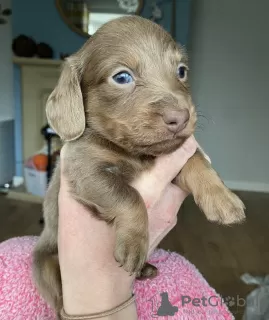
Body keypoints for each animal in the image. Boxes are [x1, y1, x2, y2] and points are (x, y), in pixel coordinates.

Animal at [31, 15, 245, 316]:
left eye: (181, 71)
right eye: (122, 77)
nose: (181, 117)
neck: (135, 152)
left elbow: (195, 160)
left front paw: (222, 198)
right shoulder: (86, 171)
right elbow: (129, 196)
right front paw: (134, 242)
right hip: (45, 266)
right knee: (60, 302)